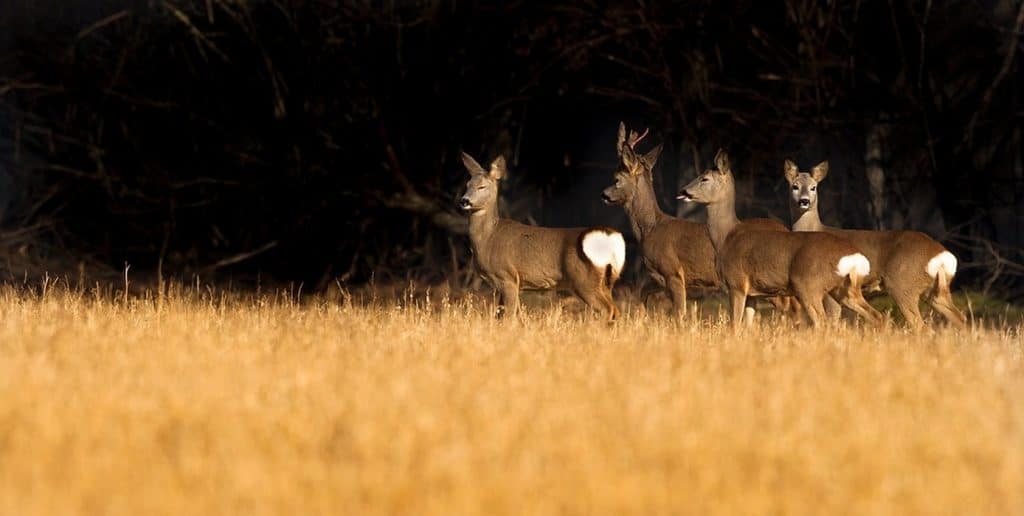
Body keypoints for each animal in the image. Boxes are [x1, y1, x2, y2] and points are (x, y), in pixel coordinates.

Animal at [462, 151, 622, 321]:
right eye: (467, 185)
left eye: (482, 186)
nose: (464, 200)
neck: (488, 238)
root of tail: (611, 237)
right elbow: (504, 314)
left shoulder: (507, 276)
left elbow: (509, 316)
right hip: (606, 281)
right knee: (615, 310)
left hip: (584, 279)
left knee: (607, 309)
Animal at [598, 123, 790, 319]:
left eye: (617, 179)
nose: (604, 194)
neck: (650, 229)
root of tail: (785, 228)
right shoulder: (657, 277)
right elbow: (641, 295)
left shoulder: (673, 271)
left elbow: (679, 313)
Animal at [675, 149, 884, 327]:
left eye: (704, 178)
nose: (683, 191)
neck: (725, 237)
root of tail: (853, 258)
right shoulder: (753, 293)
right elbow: (747, 327)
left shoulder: (737, 283)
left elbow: (734, 326)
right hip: (845, 289)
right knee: (877, 316)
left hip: (809, 285)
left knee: (822, 322)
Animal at [786, 159, 962, 327]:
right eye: (794, 186)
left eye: (813, 187)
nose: (804, 201)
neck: (814, 229)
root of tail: (941, 255)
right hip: (934, 291)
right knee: (960, 317)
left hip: (903, 285)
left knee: (920, 324)